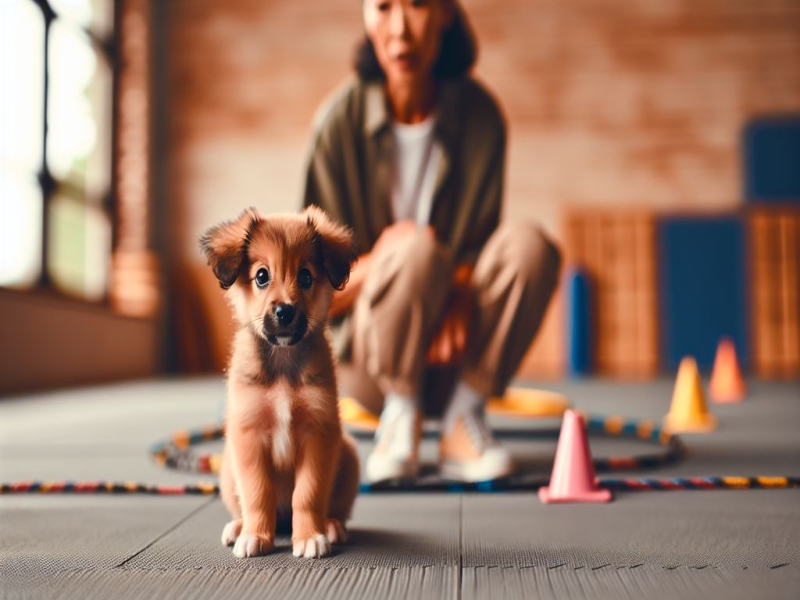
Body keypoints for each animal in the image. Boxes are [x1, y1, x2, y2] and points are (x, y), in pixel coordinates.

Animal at [200, 205, 360, 556]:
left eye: (306, 276)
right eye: (262, 275)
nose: (285, 311)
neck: (284, 368)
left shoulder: (319, 434)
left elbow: (308, 494)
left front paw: (310, 536)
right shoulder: (249, 435)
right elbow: (259, 493)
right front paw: (256, 536)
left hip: (348, 456)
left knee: (333, 508)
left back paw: (331, 525)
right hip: (228, 468)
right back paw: (239, 527)